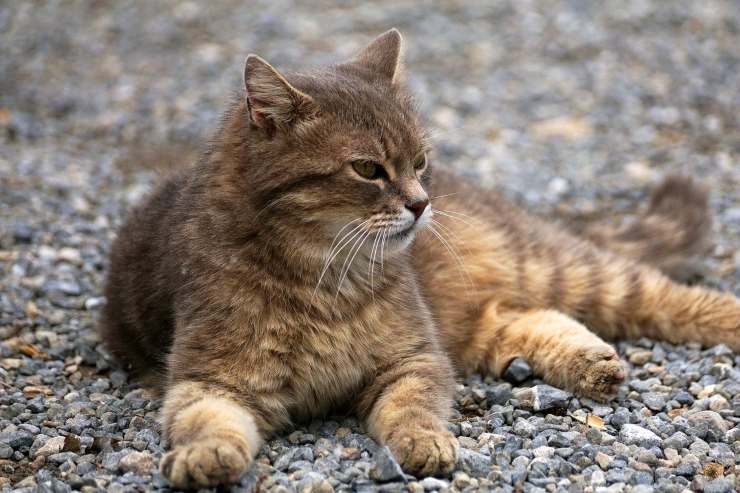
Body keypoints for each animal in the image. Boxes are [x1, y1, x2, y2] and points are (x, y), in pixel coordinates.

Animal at [99, 30, 740, 488]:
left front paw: (422, 443)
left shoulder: (415, 358)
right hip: (475, 324)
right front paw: (205, 456)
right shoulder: (210, 378)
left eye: (420, 161)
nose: (421, 202)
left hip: (554, 270)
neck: (323, 276)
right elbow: (205, 419)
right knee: (531, 319)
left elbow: (412, 409)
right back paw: (591, 361)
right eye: (367, 169)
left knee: (659, 295)